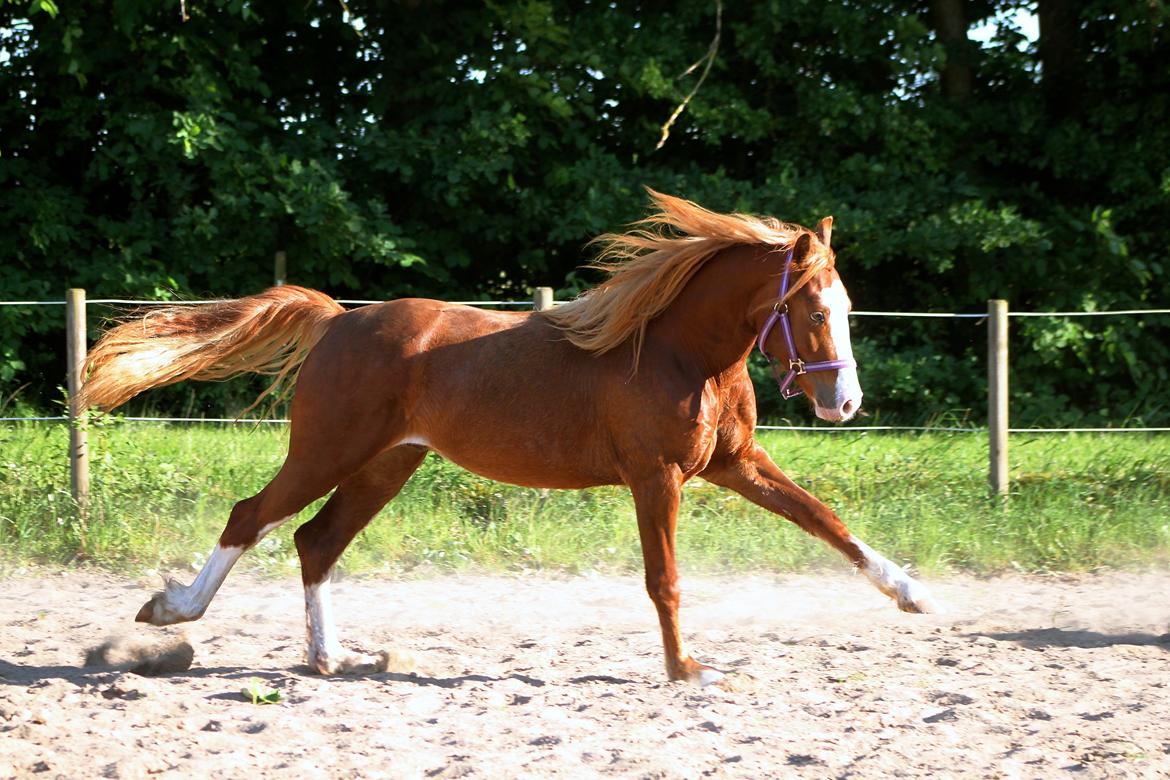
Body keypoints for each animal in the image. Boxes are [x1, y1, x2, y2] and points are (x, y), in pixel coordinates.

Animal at [80, 190, 940, 682]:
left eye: (848, 306)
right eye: (816, 309)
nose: (846, 403)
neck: (680, 351)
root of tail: (337, 319)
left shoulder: (732, 462)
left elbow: (825, 520)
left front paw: (914, 594)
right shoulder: (656, 475)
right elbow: (664, 578)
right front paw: (685, 669)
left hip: (385, 466)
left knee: (314, 542)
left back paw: (327, 657)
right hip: (330, 451)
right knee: (251, 518)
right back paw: (171, 611)